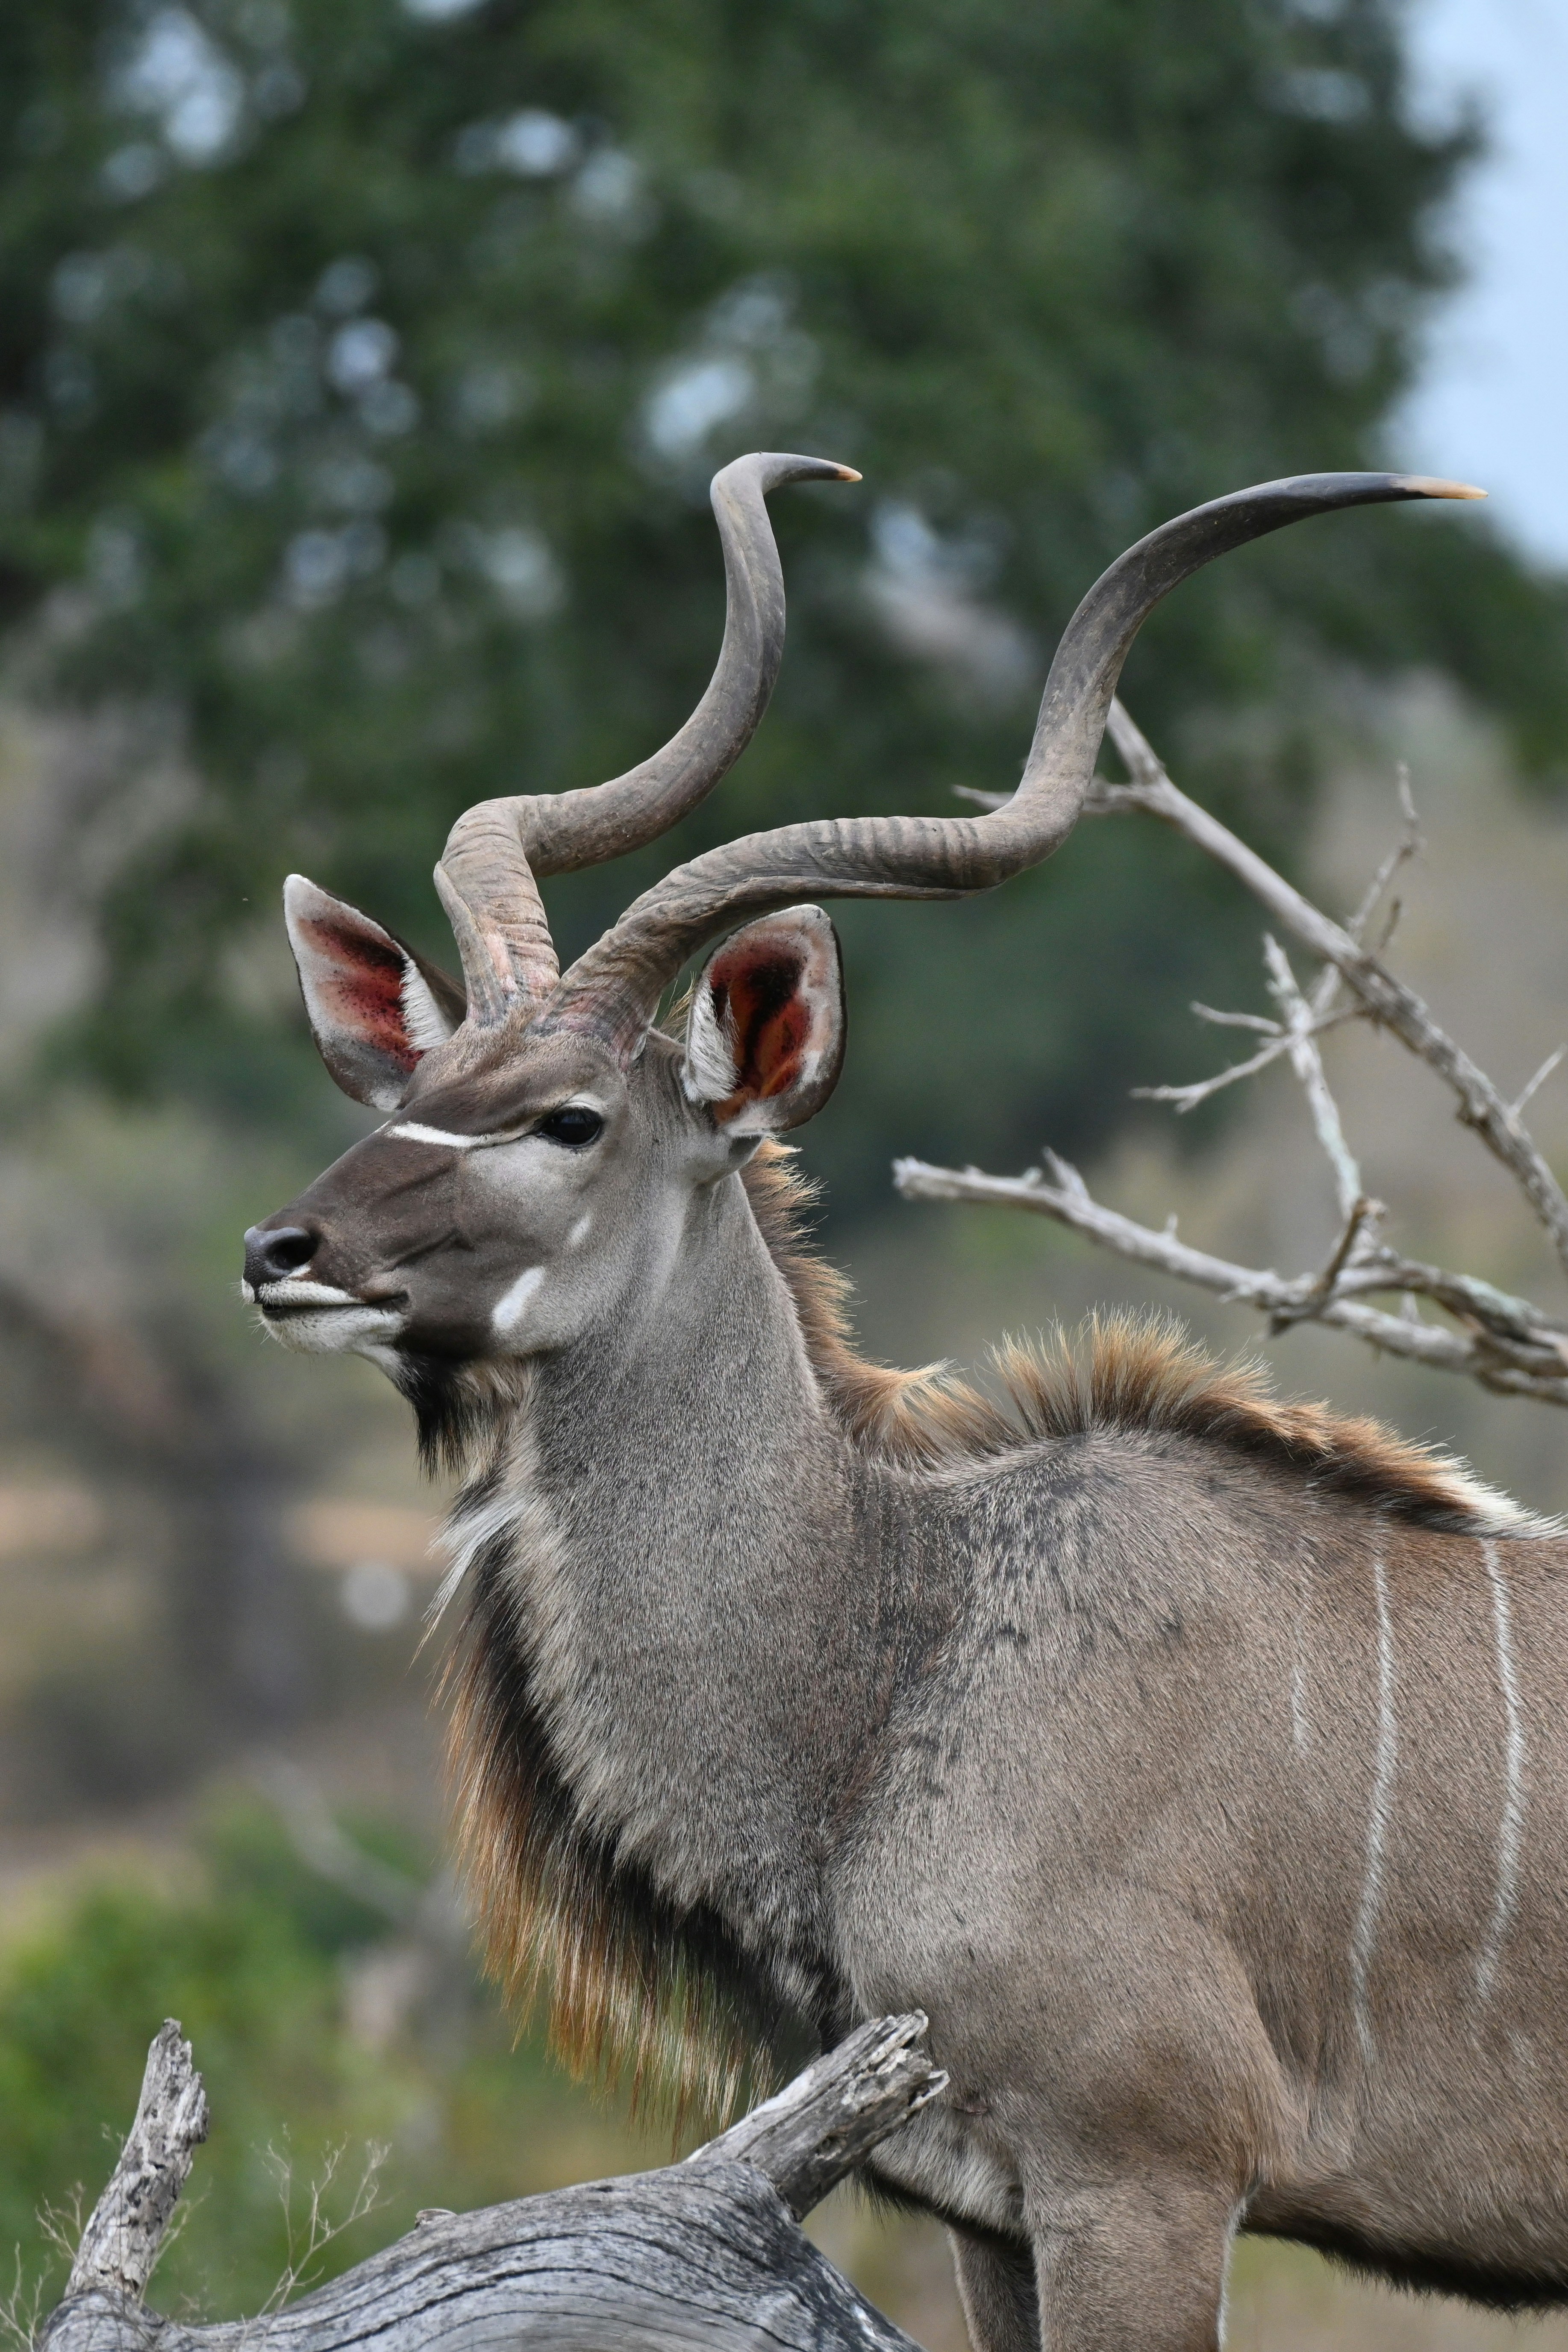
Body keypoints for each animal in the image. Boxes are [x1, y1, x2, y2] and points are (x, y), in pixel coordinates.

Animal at [241, 454, 1568, 2351]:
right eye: (409, 1086)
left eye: (568, 1118)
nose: (283, 1250)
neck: (900, 1649)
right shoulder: (981, 2208)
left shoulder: (1140, 2173)